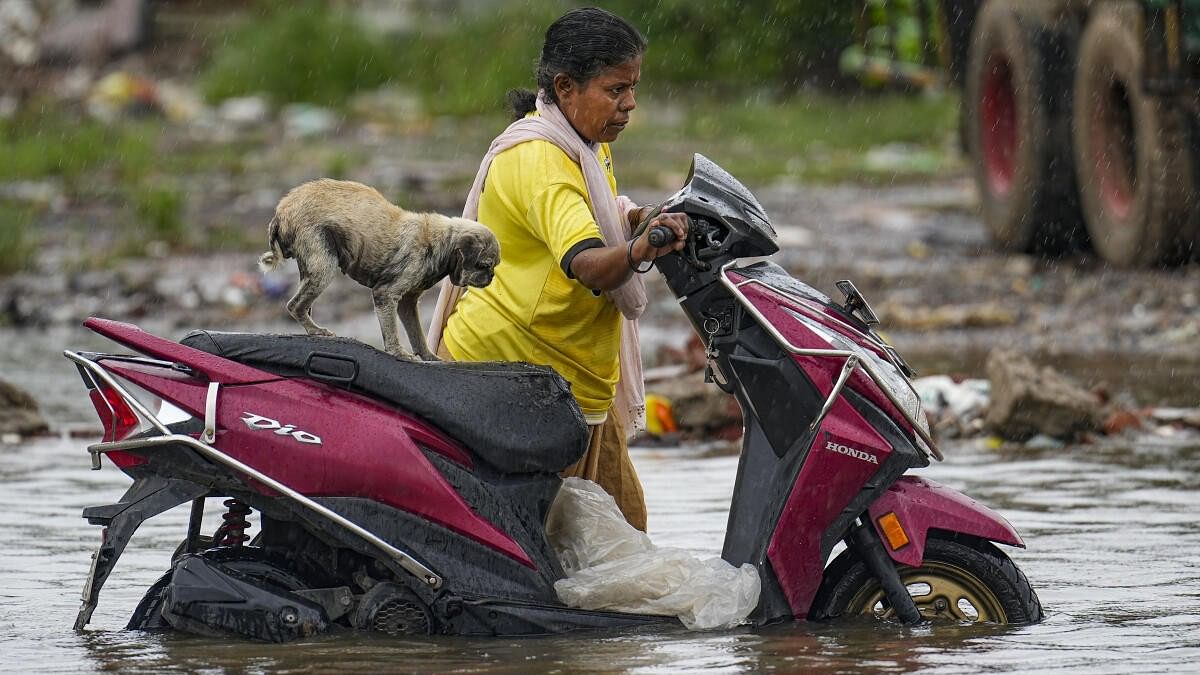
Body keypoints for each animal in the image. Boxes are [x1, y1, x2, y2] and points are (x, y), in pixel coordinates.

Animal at [258, 177, 501, 357]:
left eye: (492, 267)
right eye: (484, 265)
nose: (491, 276)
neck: (442, 241)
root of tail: (280, 213)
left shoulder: (408, 303)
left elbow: (417, 334)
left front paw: (427, 356)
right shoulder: (385, 294)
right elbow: (392, 330)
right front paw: (397, 352)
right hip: (322, 263)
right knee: (294, 305)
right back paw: (315, 330)